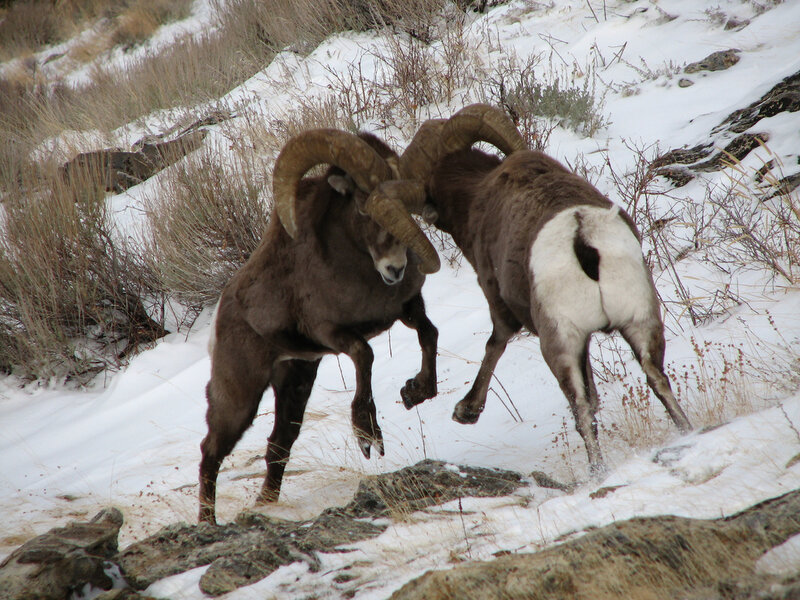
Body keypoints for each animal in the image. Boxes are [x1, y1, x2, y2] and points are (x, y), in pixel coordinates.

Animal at [198, 128, 441, 524]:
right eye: (362, 206)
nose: (395, 269)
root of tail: (222, 312)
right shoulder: (331, 334)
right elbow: (365, 354)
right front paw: (367, 438)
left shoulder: (407, 308)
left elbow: (429, 334)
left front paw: (415, 392)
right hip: (240, 398)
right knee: (211, 451)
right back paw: (208, 523)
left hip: (296, 380)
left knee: (279, 444)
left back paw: (265, 504)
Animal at [394, 104, 692, 476]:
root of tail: (582, 237)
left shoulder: (497, 299)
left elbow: (495, 343)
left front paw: (465, 411)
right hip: (640, 322)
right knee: (657, 379)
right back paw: (686, 430)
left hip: (559, 345)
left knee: (581, 409)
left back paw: (596, 472)